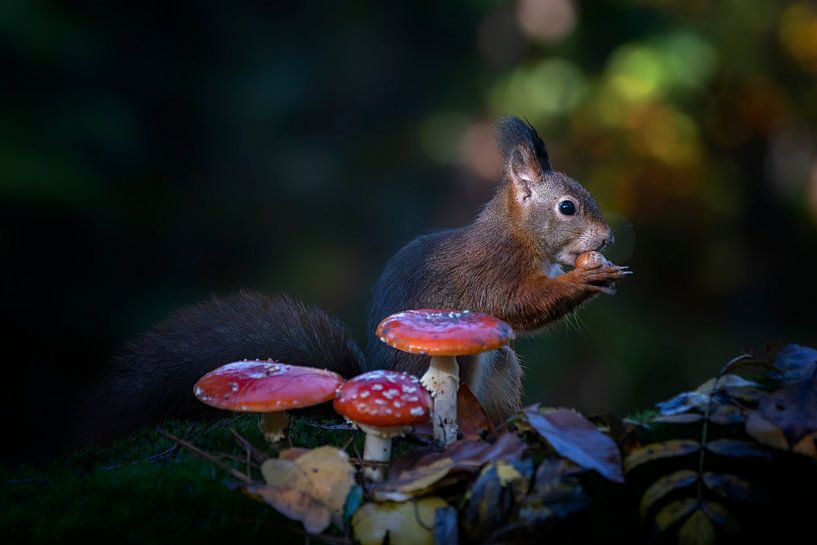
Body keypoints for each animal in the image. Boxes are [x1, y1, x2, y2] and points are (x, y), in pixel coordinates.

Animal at [73, 116, 629, 446]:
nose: (608, 237)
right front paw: (586, 280)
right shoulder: (493, 272)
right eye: (567, 208)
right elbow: (519, 305)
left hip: (500, 370)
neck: (519, 235)